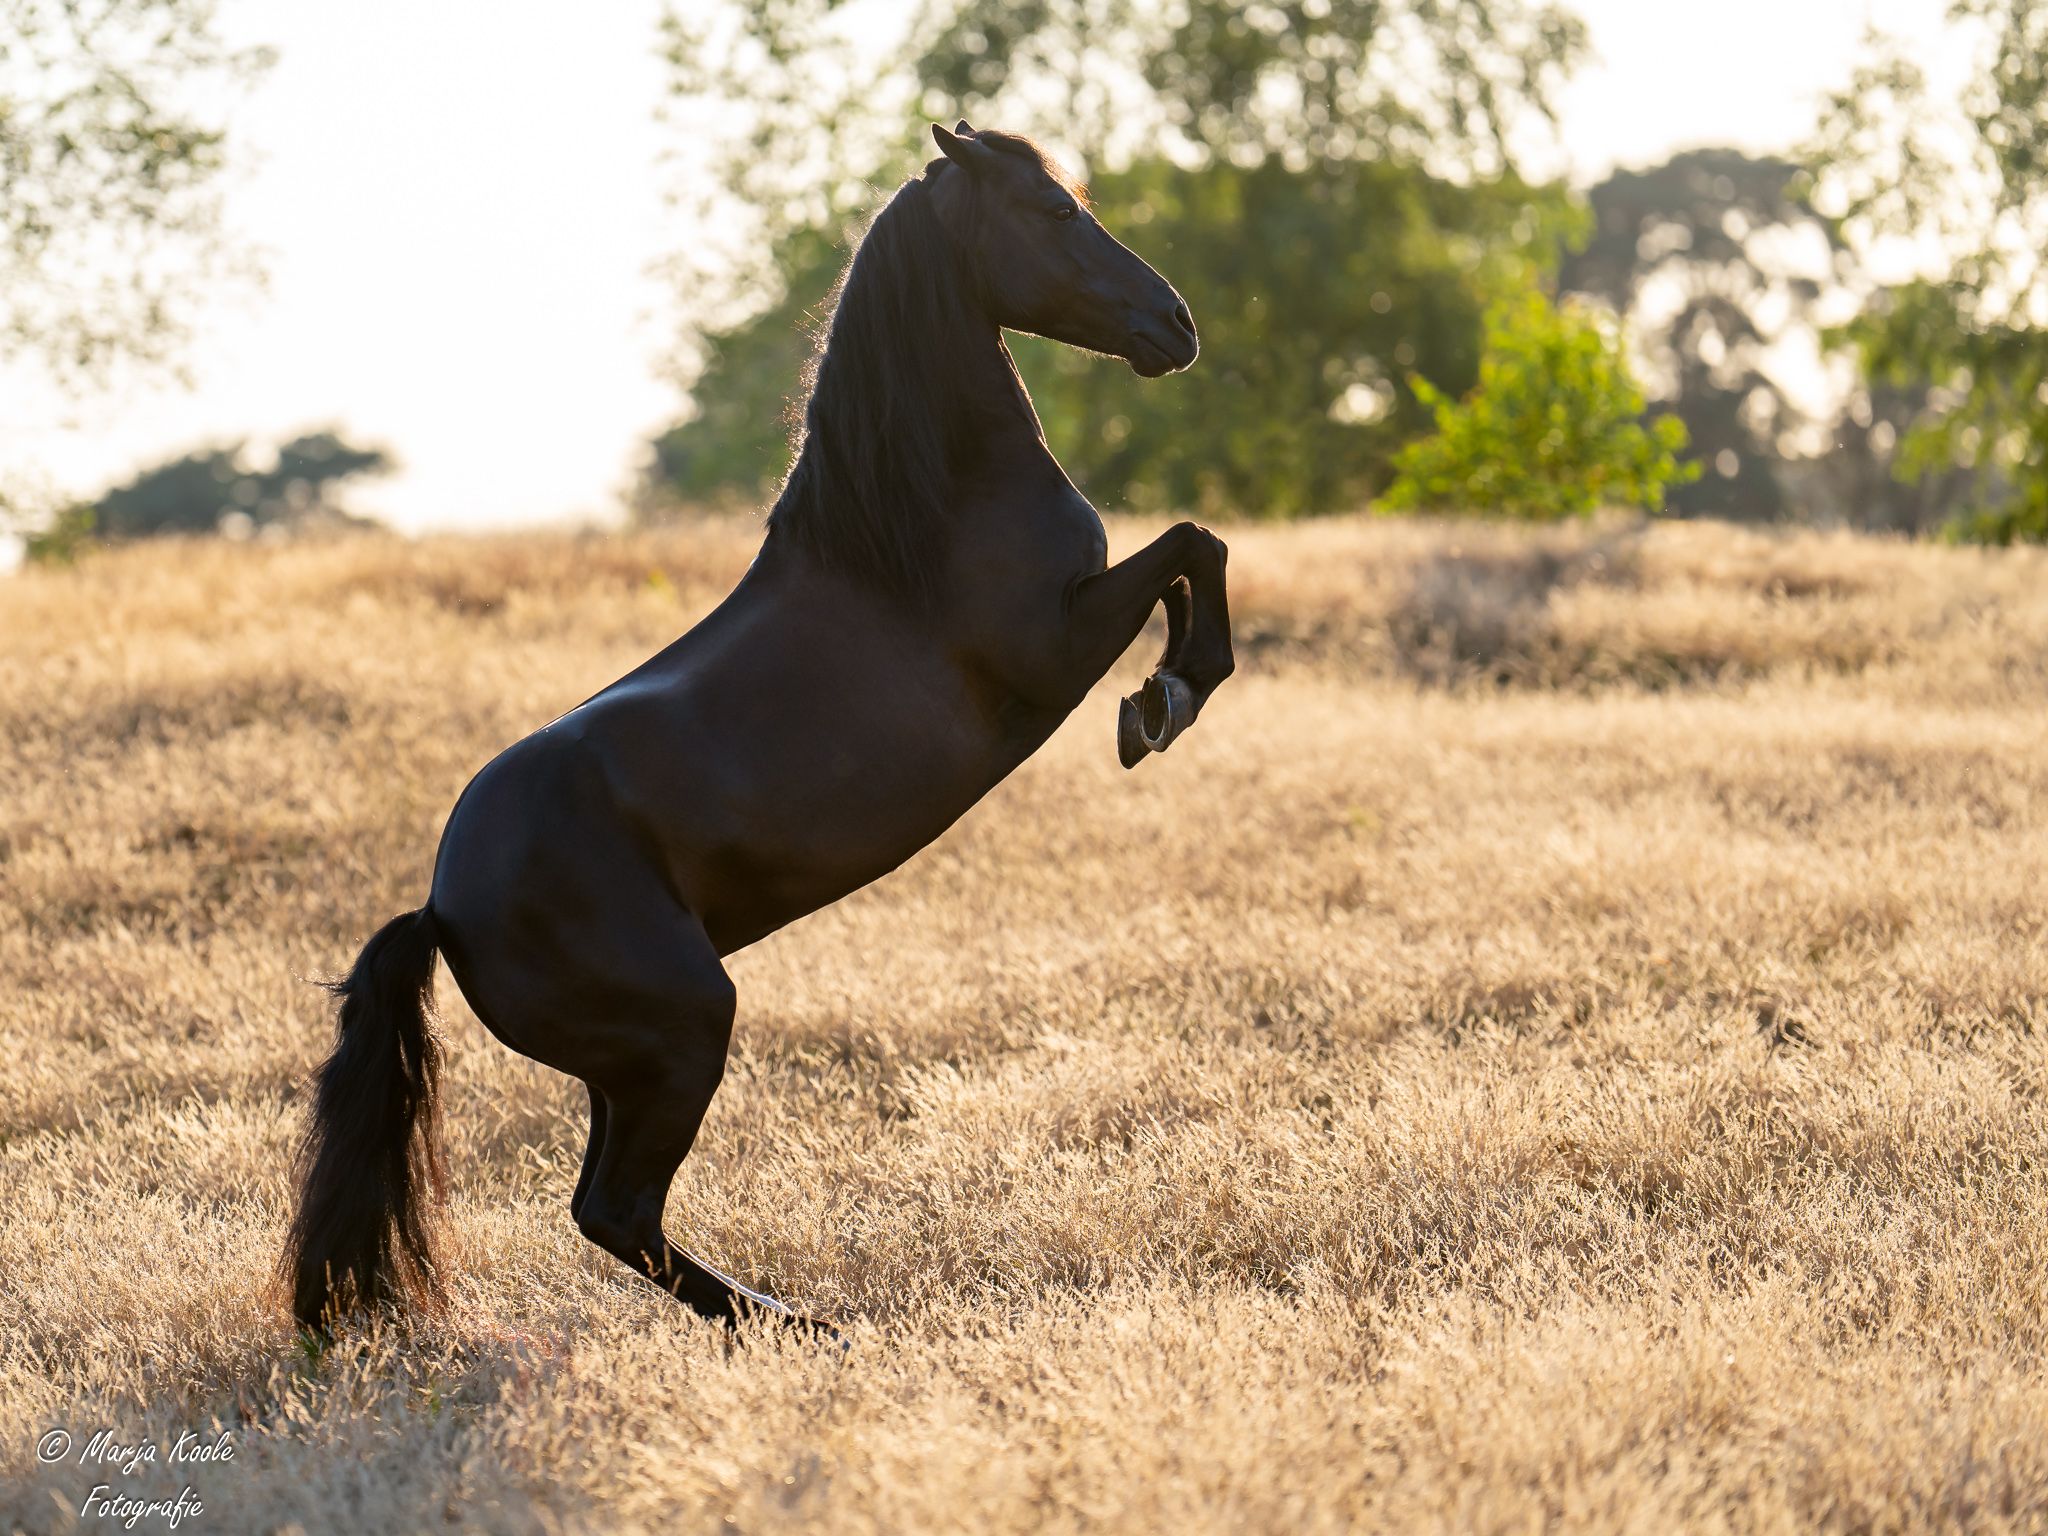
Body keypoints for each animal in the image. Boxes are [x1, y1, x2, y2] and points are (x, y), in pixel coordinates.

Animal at [283, 122, 1236, 1333]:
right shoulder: (1054, 650)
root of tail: (443, 910)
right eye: (1057, 211)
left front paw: (1161, 699)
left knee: (611, 1211)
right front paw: (1163, 701)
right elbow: (1194, 549)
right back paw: (799, 1323)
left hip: (629, 1066)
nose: (1177, 324)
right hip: (684, 1030)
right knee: (617, 1211)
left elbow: (1191, 555)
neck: (918, 524)